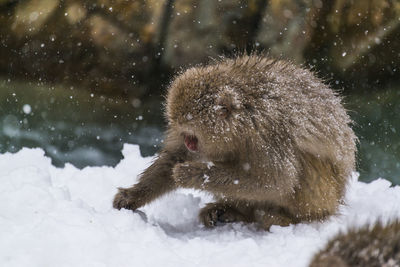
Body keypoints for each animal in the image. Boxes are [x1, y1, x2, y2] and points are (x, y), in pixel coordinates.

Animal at [112, 54, 356, 230]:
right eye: (184, 134)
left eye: (192, 134)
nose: (189, 143)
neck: (242, 119)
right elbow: (173, 158)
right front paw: (132, 196)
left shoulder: (268, 132)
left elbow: (277, 181)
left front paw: (191, 173)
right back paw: (233, 212)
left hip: (323, 197)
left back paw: (284, 219)